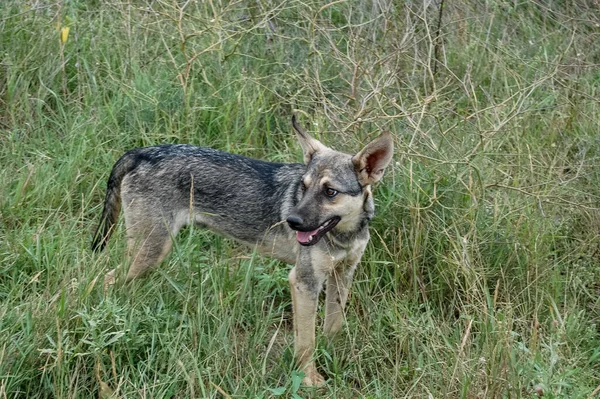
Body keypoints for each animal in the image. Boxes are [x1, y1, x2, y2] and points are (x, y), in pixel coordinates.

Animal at [92, 116, 394, 388]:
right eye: (303, 187)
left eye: (330, 192)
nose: (291, 221)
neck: (344, 235)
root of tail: (141, 152)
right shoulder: (303, 281)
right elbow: (306, 342)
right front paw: (311, 380)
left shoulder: (342, 275)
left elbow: (332, 327)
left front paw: (332, 358)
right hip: (149, 253)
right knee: (100, 280)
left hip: (146, 256)